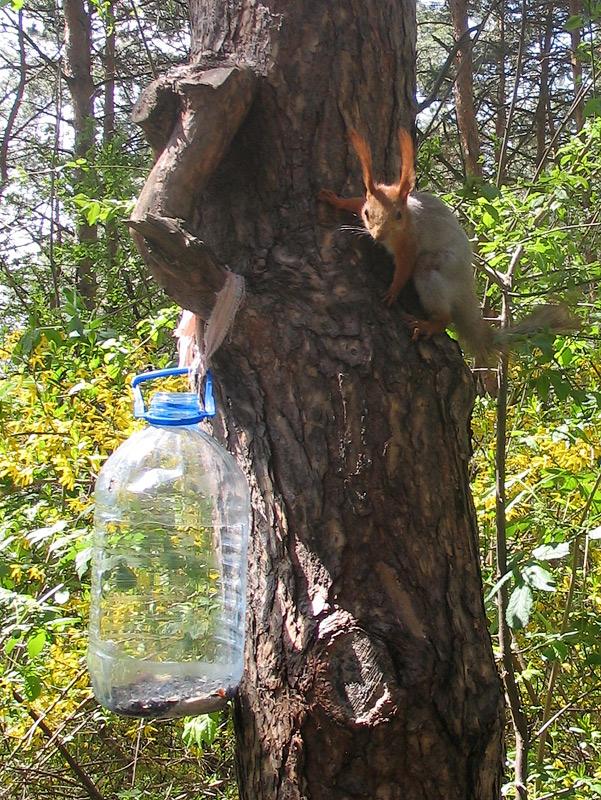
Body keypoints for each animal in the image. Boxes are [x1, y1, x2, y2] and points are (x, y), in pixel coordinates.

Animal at [318, 127, 574, 362]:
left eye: (398, 215)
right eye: (367, 213)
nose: (378, 236)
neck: (408, 219)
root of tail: (465, 288)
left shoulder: (410, 243)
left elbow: (404, 268)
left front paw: (392, 291)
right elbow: (354, 200)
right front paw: (334, 199)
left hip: (438, 267)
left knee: (441, 306)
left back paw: (429, 325)